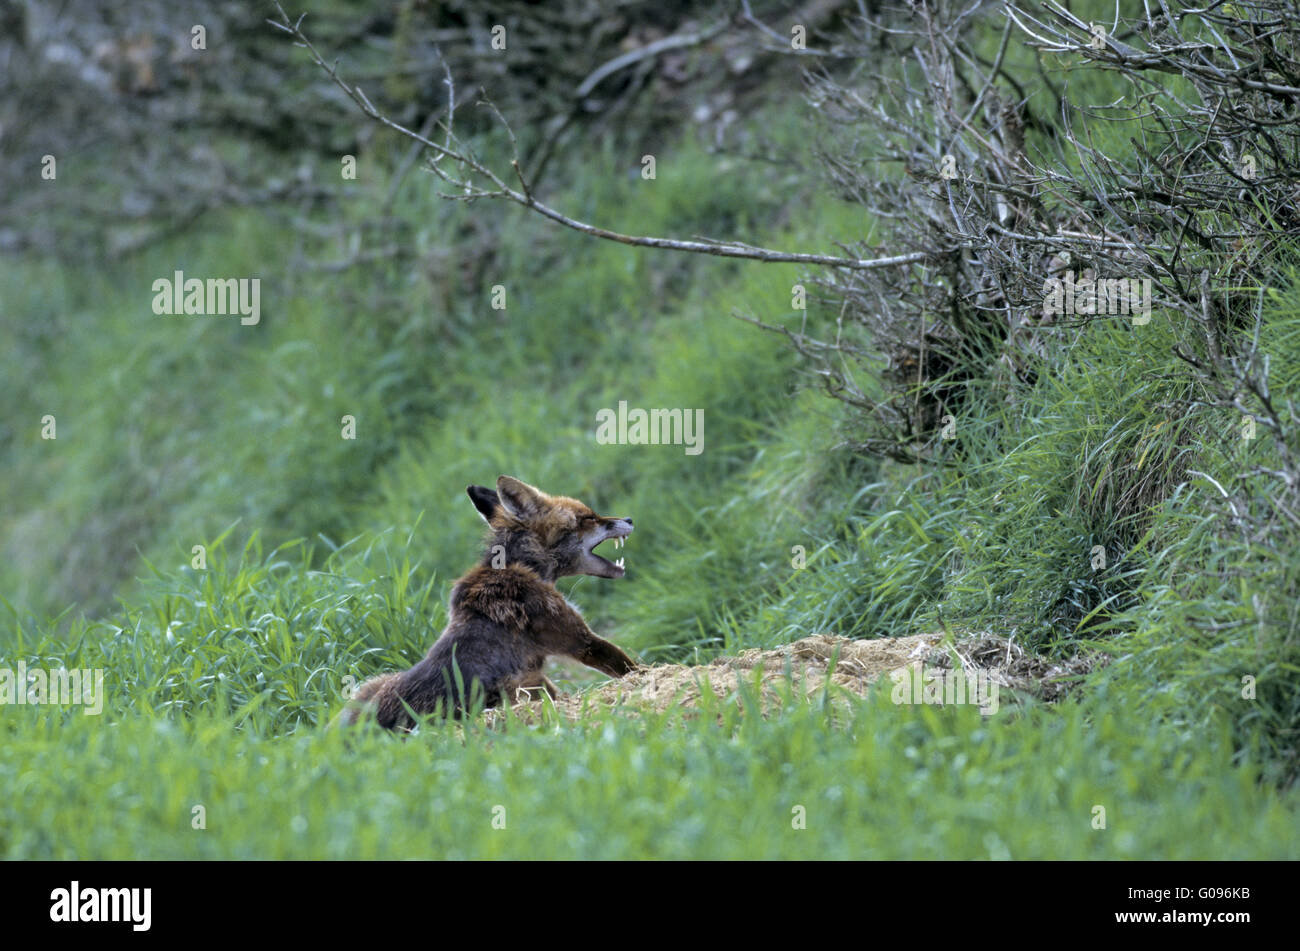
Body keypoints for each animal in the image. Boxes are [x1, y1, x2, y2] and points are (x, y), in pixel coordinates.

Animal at [335, 472, 639, 727]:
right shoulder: (578, 640)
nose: (630, 519)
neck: (517, 567)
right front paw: (644, 680)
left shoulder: (538, 670)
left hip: (370, 685)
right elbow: (627, 666)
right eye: (588, 518)